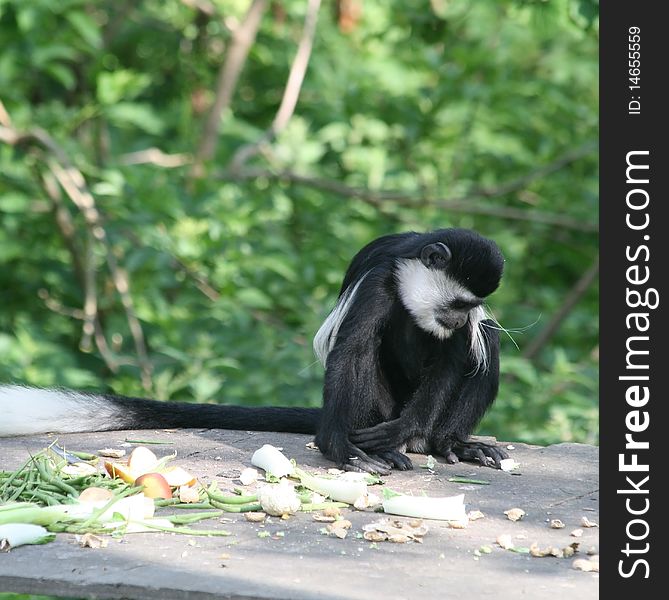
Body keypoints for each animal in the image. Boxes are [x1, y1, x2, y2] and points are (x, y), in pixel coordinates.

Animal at [0, 229, 506, 474]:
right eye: (459, 304)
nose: (462, 319)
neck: (409, 277)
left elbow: (454, 359)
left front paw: (412, 429)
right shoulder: (380, 280)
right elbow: (352, 348)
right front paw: (340, 448)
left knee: (489, 343)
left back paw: (445, 442)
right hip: (375, 407)